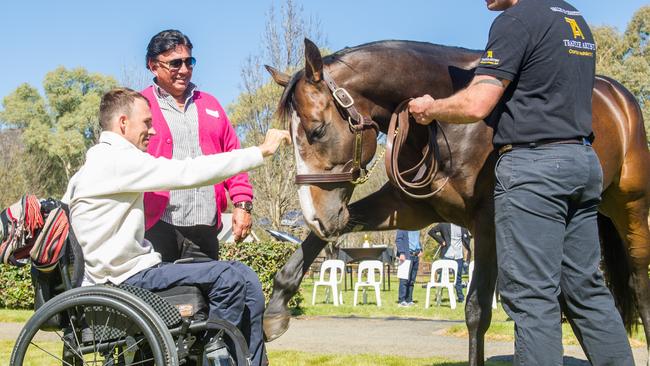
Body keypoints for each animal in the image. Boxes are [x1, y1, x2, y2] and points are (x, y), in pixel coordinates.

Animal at [264, 38, 648, 364]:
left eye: (316, 130)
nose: (315, 216)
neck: (447, 125)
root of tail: (619, 98)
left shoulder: (488, 224)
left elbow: (477, 311)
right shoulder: (407, 209)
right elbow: (309, 248)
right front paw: (275, 310)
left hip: (630, 208)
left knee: (637, 282)